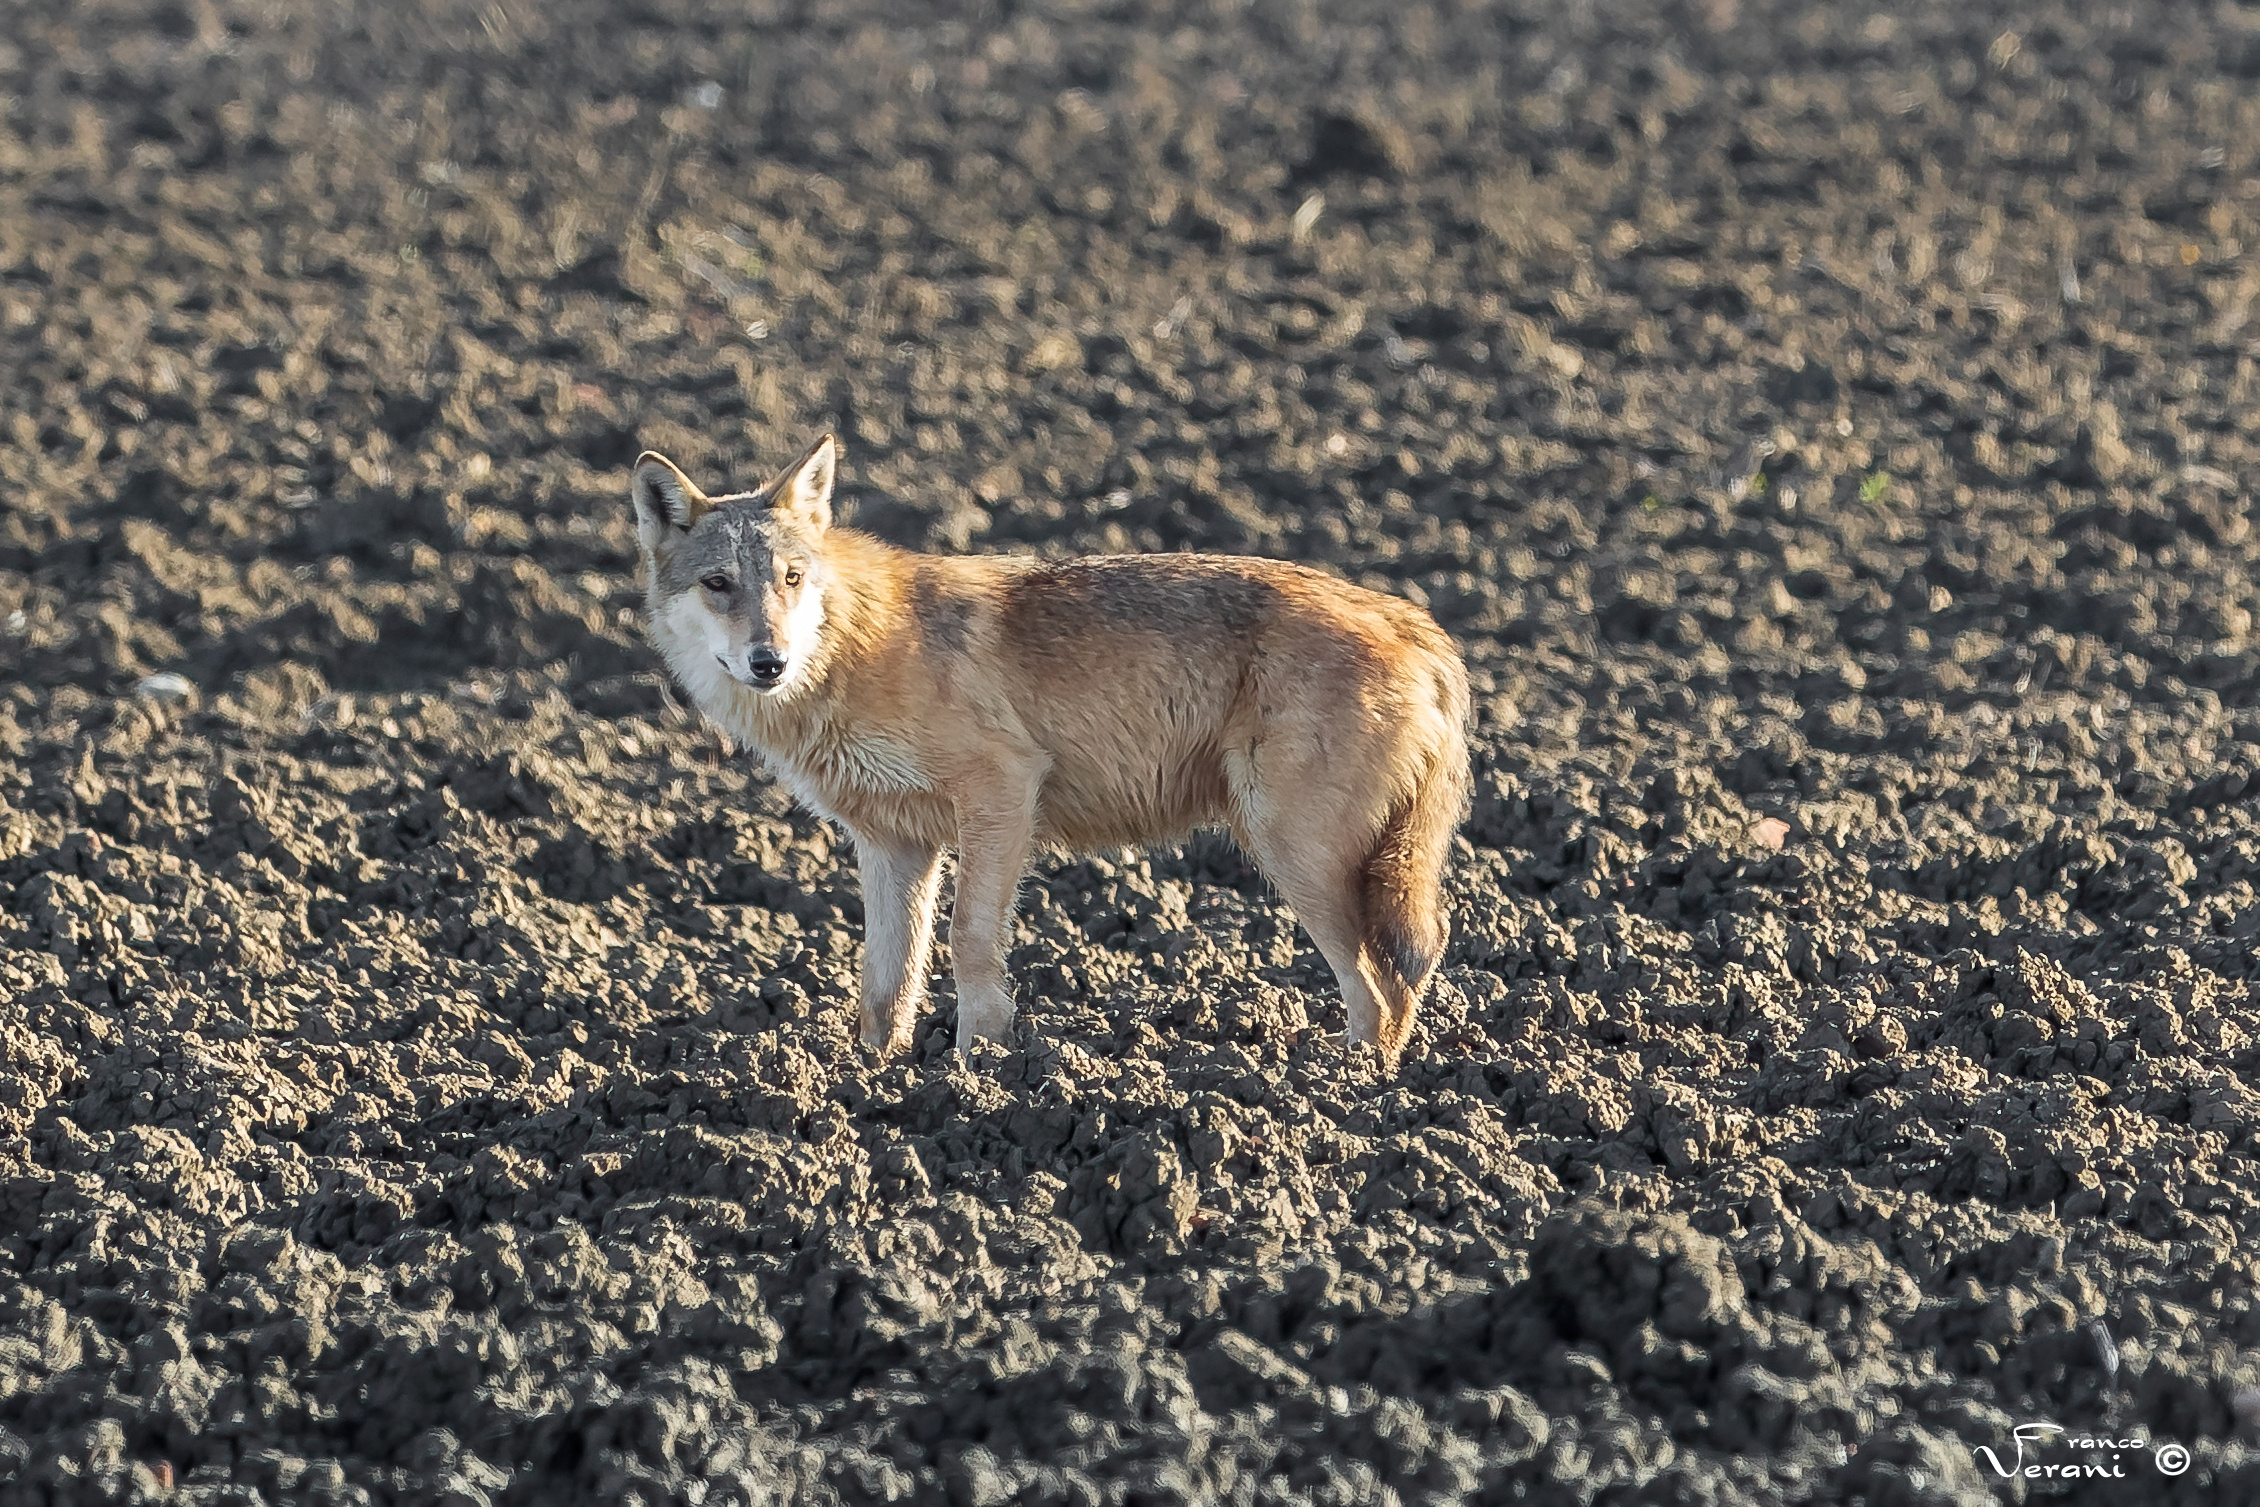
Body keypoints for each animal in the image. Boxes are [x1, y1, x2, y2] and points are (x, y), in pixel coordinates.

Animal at [630, 434, 1471, 1069]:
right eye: (718, 584)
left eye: (792, 579)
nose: (768, 661)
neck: (851, 653)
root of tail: (1421, 625)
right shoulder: (895, 845)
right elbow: (884, 982)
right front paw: (872, 1077)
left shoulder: (1002, 790)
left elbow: (968, 940)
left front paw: (978, 1066)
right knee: (1407, 971)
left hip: (1293, 855)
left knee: (1385, 985)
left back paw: (1344, 1088)